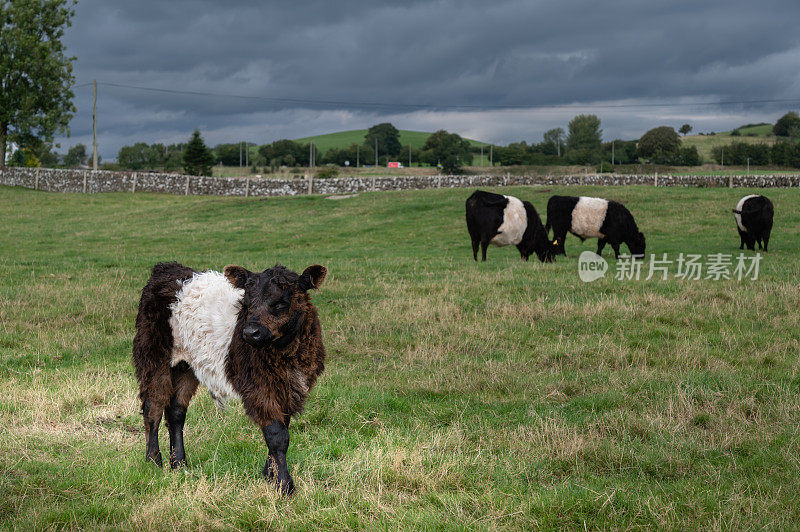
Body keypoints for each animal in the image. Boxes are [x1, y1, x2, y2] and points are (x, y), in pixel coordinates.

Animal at [133, 262, 326, 494]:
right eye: (246, 302)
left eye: (281, 303)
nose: (251, 332)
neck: (286, 352)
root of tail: (167, 268)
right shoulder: (259, 386)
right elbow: (277, 435)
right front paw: (284, 486)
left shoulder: (288, 387)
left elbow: (282, 428)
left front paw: (269, 475)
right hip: (153, 354)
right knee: (153, 407)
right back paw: (154, 461)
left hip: (186, 365)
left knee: (176, 411)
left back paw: (179, 463)